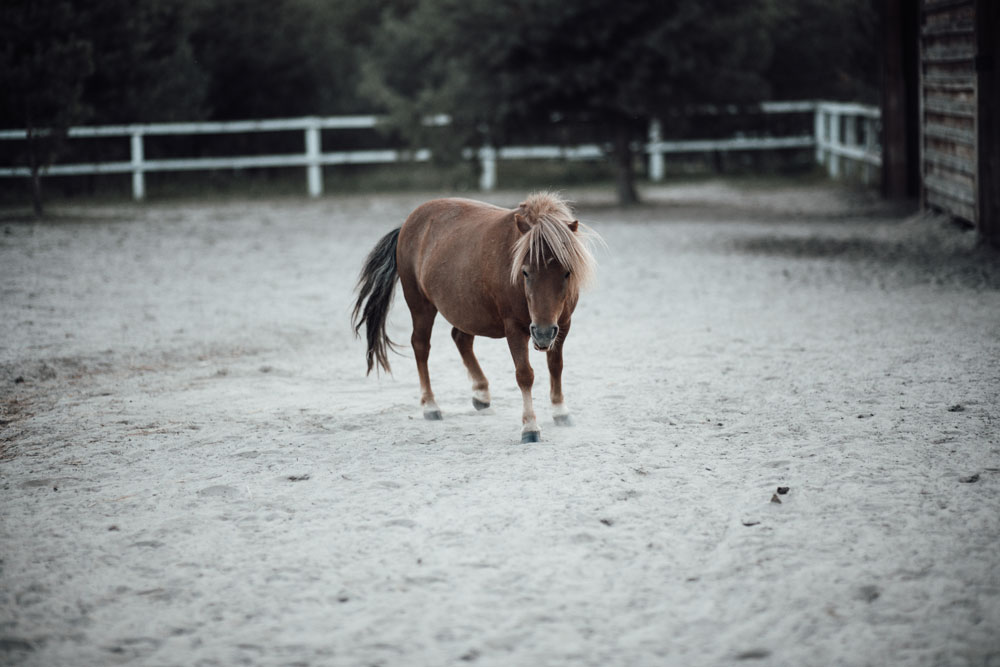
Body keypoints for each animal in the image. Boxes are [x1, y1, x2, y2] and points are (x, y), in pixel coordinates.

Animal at [354, 193, 596, 444]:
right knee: (421, 346)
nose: (542, 333)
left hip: (467, 309)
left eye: (567, 272)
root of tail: (407, 224)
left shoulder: (563, 325)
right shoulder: (514, 328)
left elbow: (556, 366)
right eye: (525, 272)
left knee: (461, 339)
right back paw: (430, 406)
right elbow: (524, 374)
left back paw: (481, 393)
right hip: (420, 305)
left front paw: (560, 411)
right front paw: (530, 426)